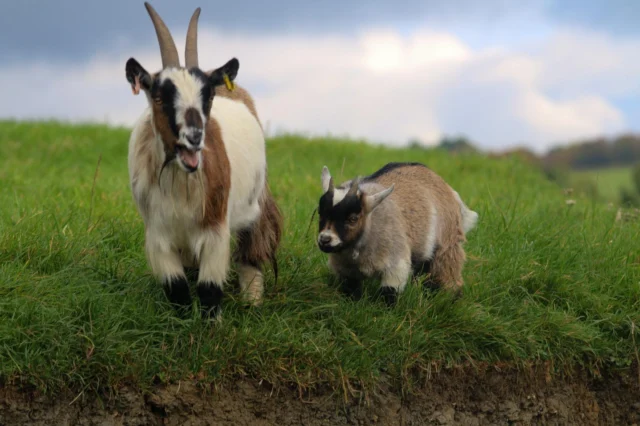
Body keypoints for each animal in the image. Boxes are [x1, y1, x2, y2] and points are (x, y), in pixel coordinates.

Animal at [124, 3, 282, 318]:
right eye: (158, 97)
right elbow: (177, 289)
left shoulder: (215, 229)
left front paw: (211, 327)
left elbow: (209, 290)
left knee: (253, 248)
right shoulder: (158, 233)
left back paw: (252, 301)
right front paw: (182, 324)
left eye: (206, 97)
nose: (194, 137)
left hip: (256, 201)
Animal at [316, 162, 477, 305]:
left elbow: (389, 293)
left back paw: (451, 299)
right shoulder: (344, 270)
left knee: (448, 274)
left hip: (447, 245)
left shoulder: (396, 263)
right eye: (320, 213)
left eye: (353, 218)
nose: (325, 239)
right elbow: (350, 291)